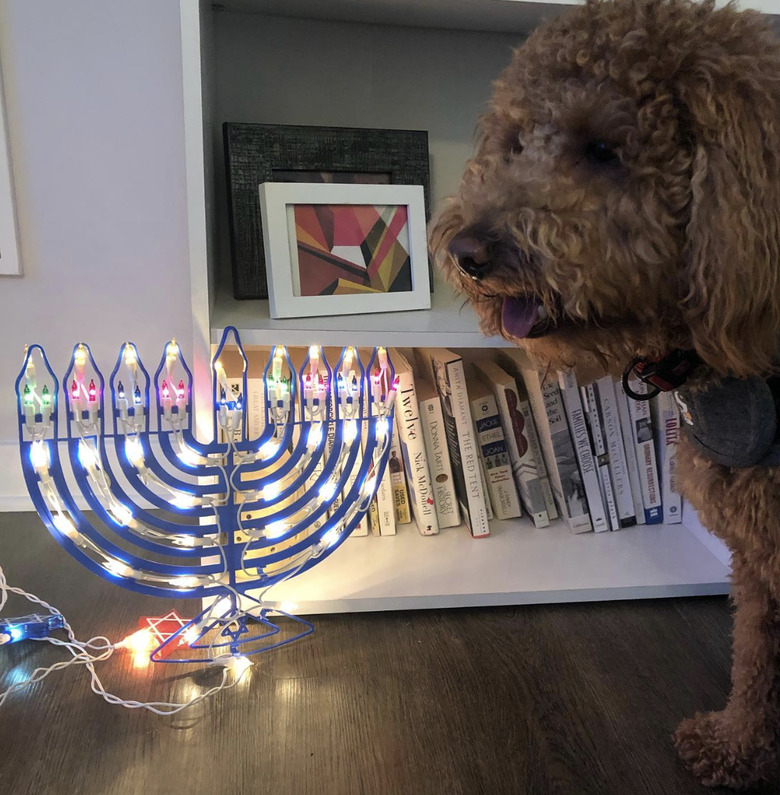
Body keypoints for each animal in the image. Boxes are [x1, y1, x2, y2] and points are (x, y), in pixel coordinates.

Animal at [430, 0, 780, 788]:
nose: (467, 252)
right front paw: (735, 745)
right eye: (516, 141)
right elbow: (755, 663)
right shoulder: (759, 563)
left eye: (602, 149)